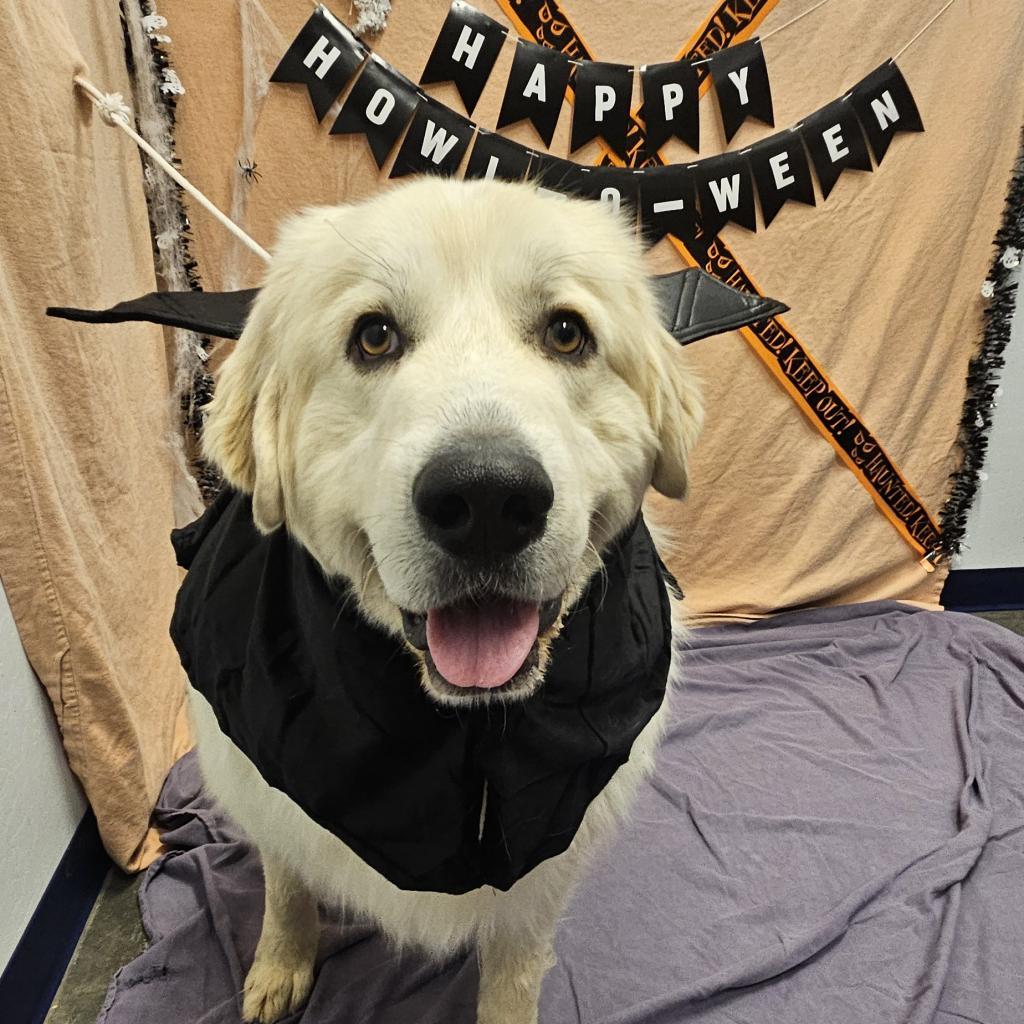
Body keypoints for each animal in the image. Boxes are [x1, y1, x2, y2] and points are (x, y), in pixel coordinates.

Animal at [190, 178, 704, 1024]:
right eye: (373, 337)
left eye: (567, 333)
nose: (488, 499)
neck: (463, 734)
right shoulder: (265, 785)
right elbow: (287, 881)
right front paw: (280, 965)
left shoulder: (539, 876)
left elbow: (514, 972)